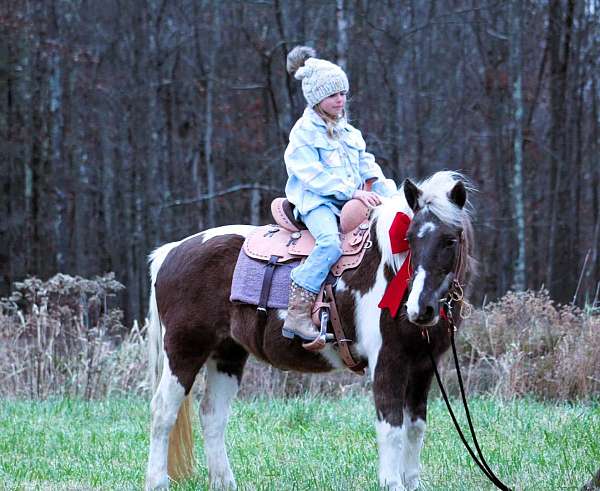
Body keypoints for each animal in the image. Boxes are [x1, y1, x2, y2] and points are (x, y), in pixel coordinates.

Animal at [144, 171, 474, 490]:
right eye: (409, 238)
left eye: (450, 241)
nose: (421, 309)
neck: (389, 270)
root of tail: (171, 252)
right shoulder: (387, 363)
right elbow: (391, 428)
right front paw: (392, 484)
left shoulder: (422, 368)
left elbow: (415, 429)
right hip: (184, 350)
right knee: (163, 412)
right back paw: (157, 482)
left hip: (227, 354)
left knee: (213, 415)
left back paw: (224, 483)